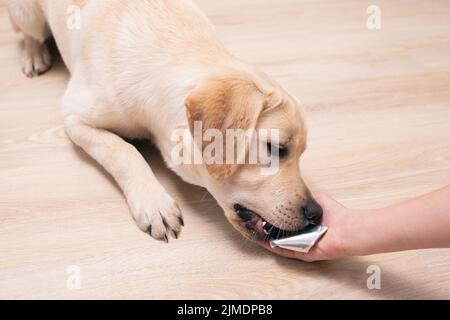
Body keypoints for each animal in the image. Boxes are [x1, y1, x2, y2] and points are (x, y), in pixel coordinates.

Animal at [7, 0, 324, 242]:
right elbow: (124, 151)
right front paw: (154, 204)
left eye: (301, 154)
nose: (316, 212)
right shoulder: (75, 116)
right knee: (27, 34)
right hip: (28, 16)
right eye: (276, 149)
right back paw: (34, 54)